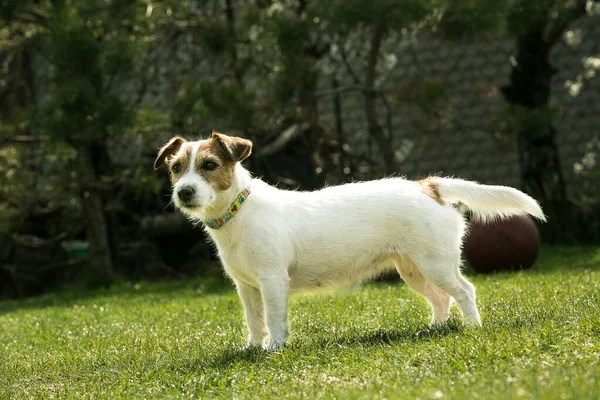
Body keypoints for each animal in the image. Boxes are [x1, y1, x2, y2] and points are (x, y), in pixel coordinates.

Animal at [154, 132, 544, 350]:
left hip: (436, 264)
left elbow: (275, 318)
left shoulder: (272, 281)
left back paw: (473, 328)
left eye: (209, 165)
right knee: (440, 299)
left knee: (464, 291)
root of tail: (427, 186)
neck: (239, 210)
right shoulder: (247, 287)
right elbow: (254, 321)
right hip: (413, 270)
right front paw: (251, 348)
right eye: (175, 168)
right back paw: (434, 329)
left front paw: (274, 348)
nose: (184, 192)